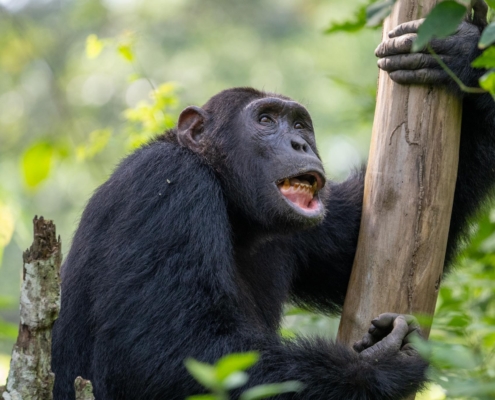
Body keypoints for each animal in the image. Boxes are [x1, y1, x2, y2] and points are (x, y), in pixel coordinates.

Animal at [52, 7, 494, 400]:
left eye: (299, 125)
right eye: (265, 120)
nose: (299, 143)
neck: (230, 201)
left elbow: (361, 241)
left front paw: (460, 54)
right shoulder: (165, 191)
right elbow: (162, 354)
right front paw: (375, 365)